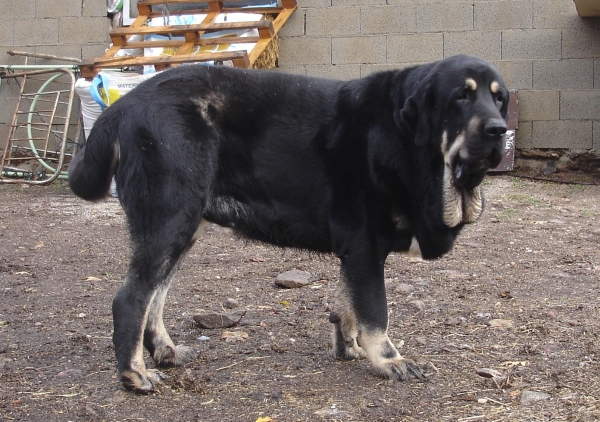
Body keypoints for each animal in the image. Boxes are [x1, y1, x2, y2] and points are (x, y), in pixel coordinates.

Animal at [71, 55, 510, 392]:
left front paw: (347, 346)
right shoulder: (365, 247)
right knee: (131, 300)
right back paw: (134, 375)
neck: (403, 137)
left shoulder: (355, 253)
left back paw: (166, 352)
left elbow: (347, 305)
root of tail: (123, 106)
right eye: (461, 96)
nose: (499, 130)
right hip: (170, 220)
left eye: (499, 99)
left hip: (183, 228)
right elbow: (375, 312)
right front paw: (388, 359)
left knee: (155, 297)